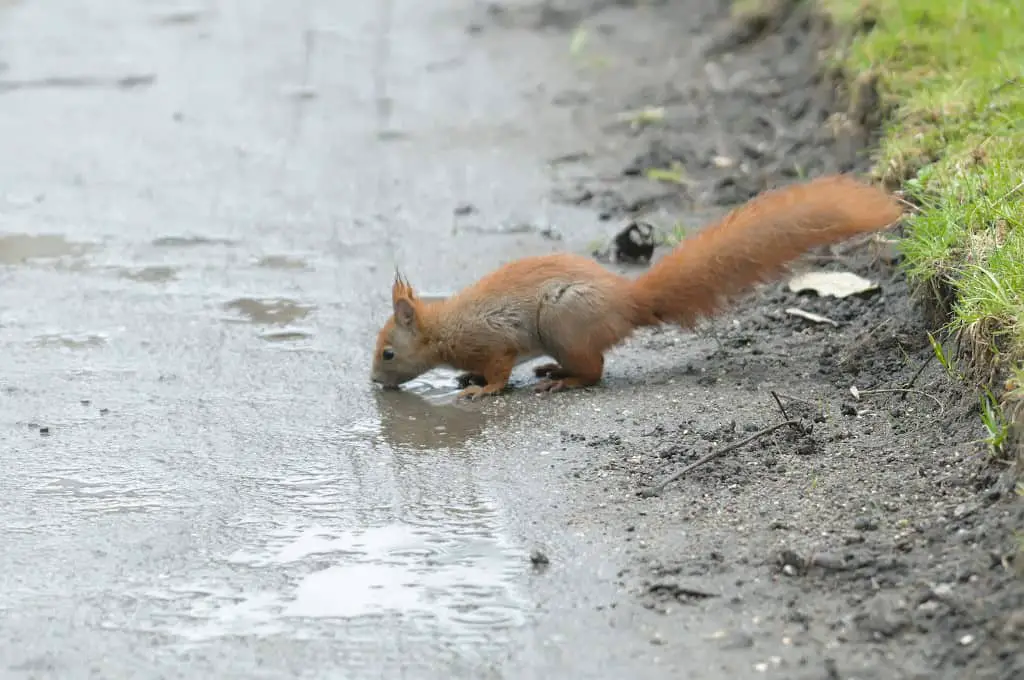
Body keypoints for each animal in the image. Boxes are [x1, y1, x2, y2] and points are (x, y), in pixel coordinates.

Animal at [370, 173, 905, 401]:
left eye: (388, 353)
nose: (374, 382)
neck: (445, 328)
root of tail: (626, 301)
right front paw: (467, 378)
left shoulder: (495, 341)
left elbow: (500, 371)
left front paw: (482, 390)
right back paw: (550, 369)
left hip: (564, 323)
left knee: (596, 370)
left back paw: (562, 380)